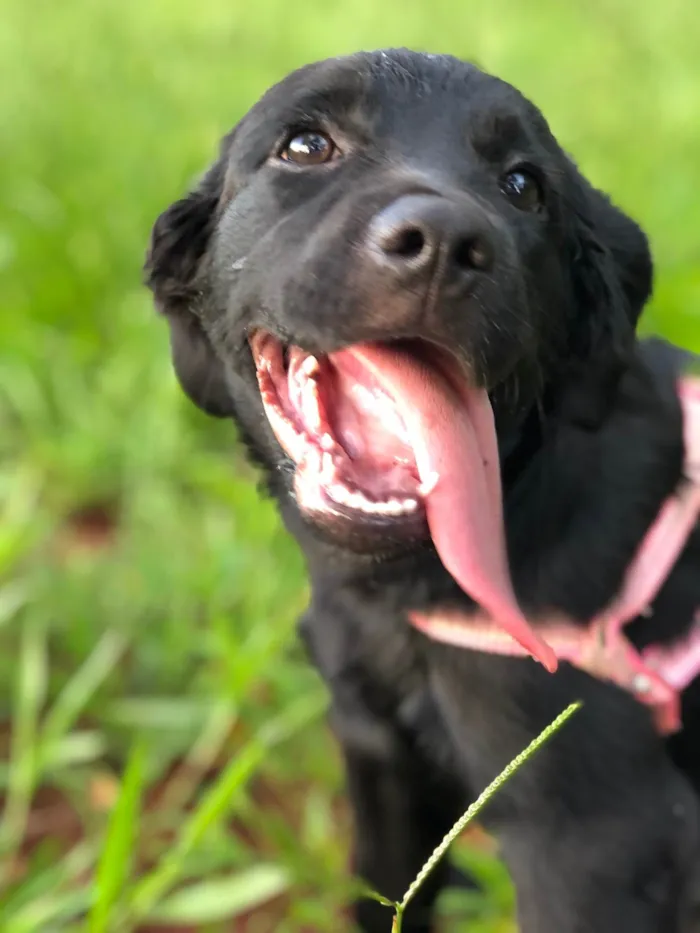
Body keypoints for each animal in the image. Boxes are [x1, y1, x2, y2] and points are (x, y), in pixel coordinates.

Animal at [146, 51, 700, 932]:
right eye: (305, 145)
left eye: (523, 186)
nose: (443, 242)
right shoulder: (381, 754)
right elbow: (380, 895)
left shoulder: (602, 838)